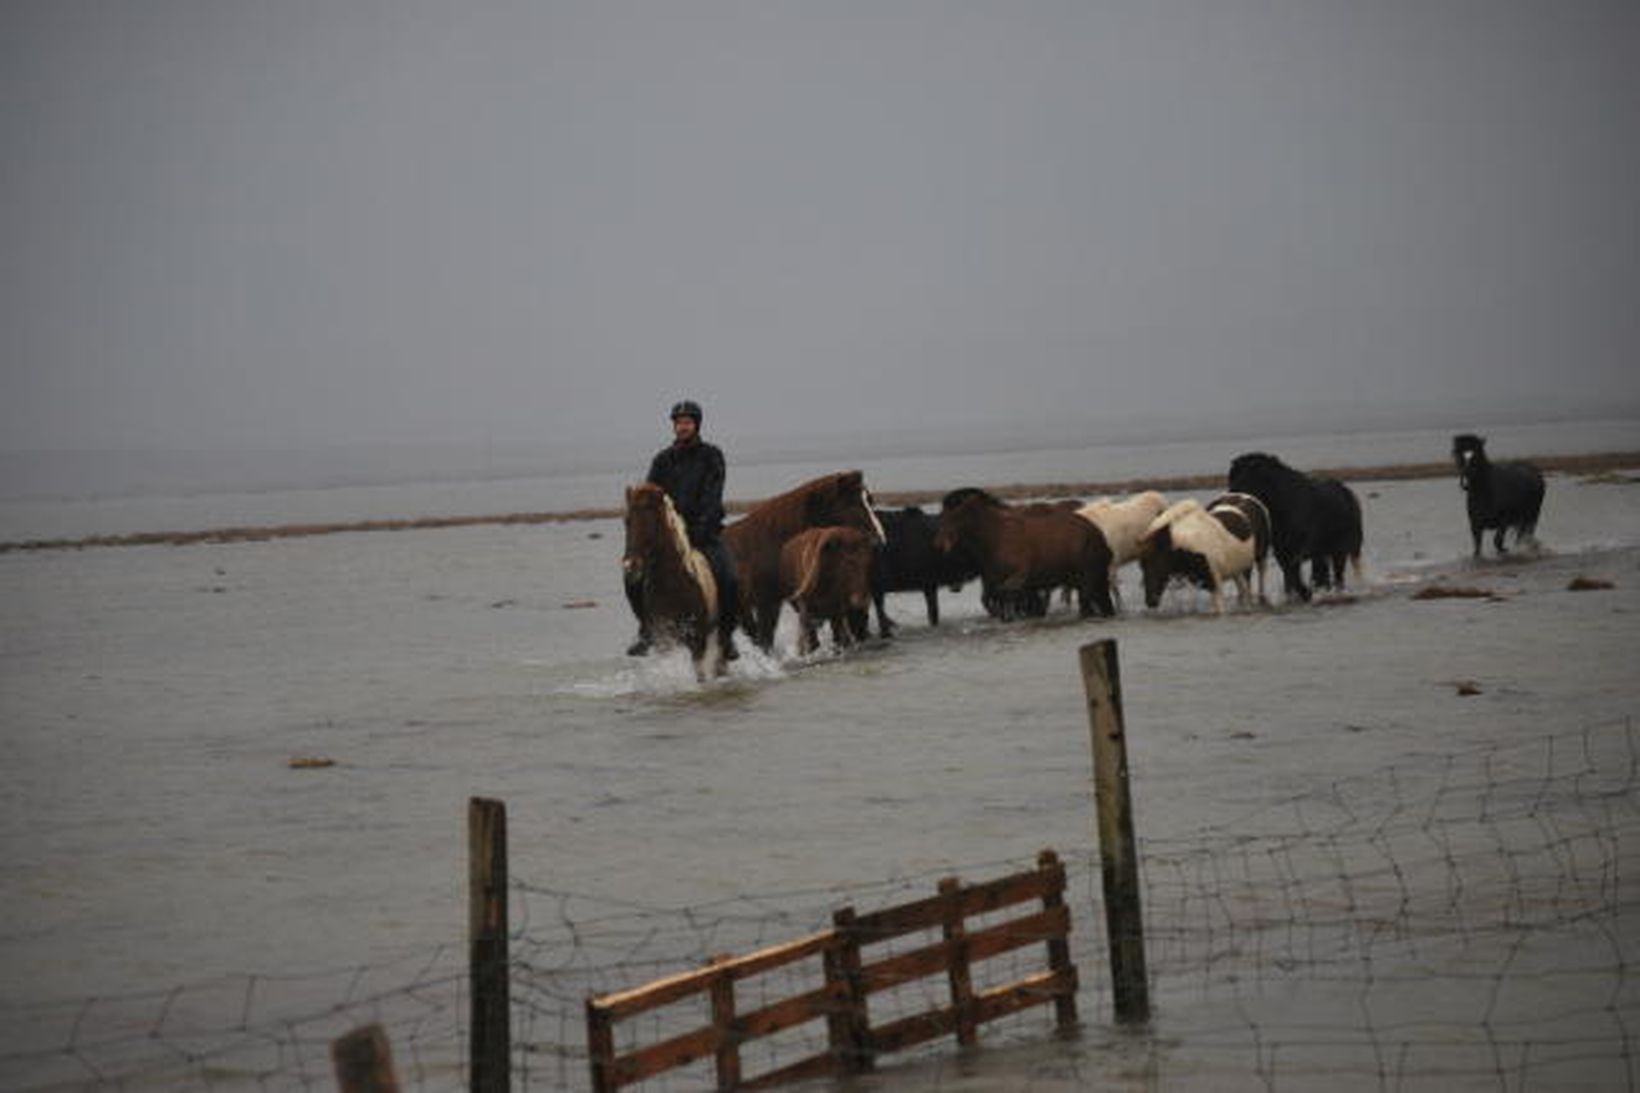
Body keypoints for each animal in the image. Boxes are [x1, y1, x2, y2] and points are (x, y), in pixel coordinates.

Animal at [619, 482, 724, 676]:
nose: (631, 565)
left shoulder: (697, 640)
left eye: (651, 522)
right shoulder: (664, 641)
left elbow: (700, 674)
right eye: (627, 521)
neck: (672, 587)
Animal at [938, 489, 1115, 617]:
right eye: (942, 516)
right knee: (1101, 601)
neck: (996, 536)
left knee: (1088, 602)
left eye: (954, 516)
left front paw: (1011, 615)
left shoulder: (1019, 576)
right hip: (1089, 578)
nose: (939, 543)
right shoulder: (997, 580)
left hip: (1088, 577)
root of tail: (1098, 533)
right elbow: (995, 598)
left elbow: (1007, 595)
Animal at [1226, 452, 1364, 603]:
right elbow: (1290, 578)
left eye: (1244, 479)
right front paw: (1301, 594)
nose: (1229, 498)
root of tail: (1347, 493)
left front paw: (1306, 593)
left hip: (1341, 549)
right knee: (1323, 573)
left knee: (1338, 576)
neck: (1285, 505)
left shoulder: (1296, 551)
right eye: (1231, 477)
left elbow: (1294, 576)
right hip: (1322, 551)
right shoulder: (1282, 553)